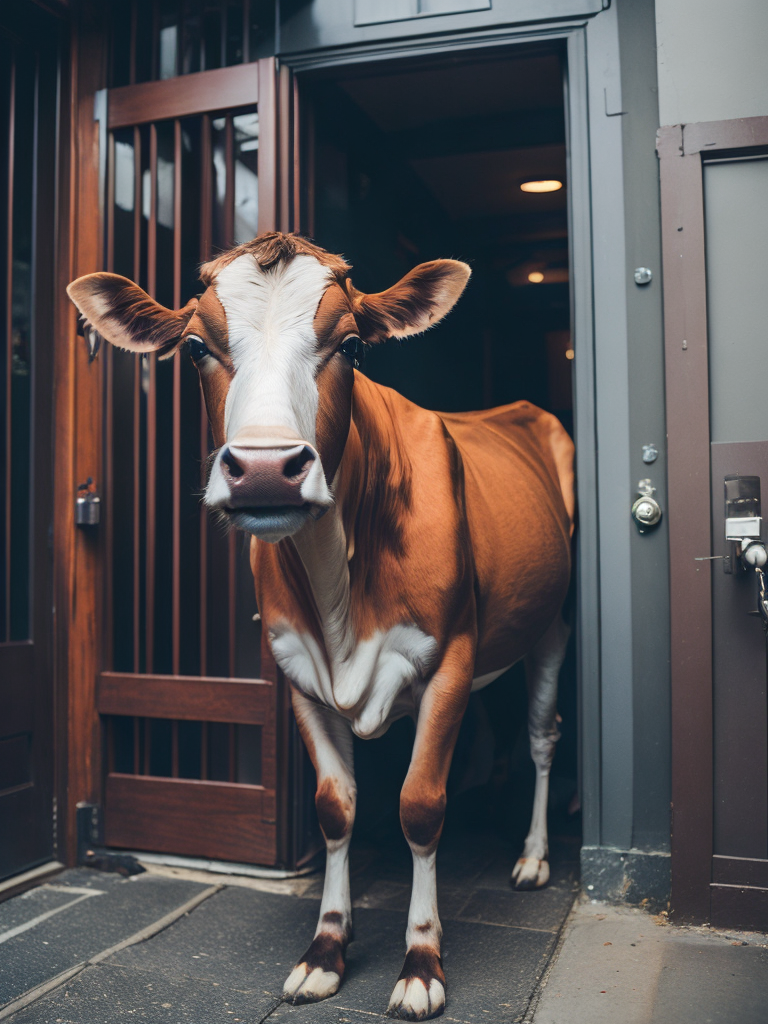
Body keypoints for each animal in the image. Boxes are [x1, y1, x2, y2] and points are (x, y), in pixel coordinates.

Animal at [67, 234, 577, 1024]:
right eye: (195, 347)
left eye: (352, 345)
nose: (264, 470)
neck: (340, 584)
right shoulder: (298, 674)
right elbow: (335, 809)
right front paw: (327, 948)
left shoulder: (450, 659)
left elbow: (419, 805)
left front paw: (422, 962)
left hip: (551, 623)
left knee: (542, 735)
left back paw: (531, 856)